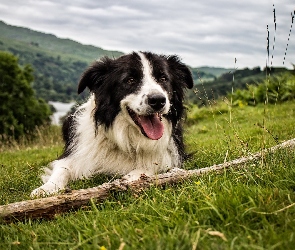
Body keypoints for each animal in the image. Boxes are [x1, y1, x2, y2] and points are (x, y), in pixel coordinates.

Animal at [31, 51, 194, 196]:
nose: (158, 100)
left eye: (163, 78)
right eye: (130, 80)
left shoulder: (170, 155)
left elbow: (149, 167)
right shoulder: (74, 154)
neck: (126, 139)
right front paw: (46, 188)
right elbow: (62, 169)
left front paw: (130, 178)